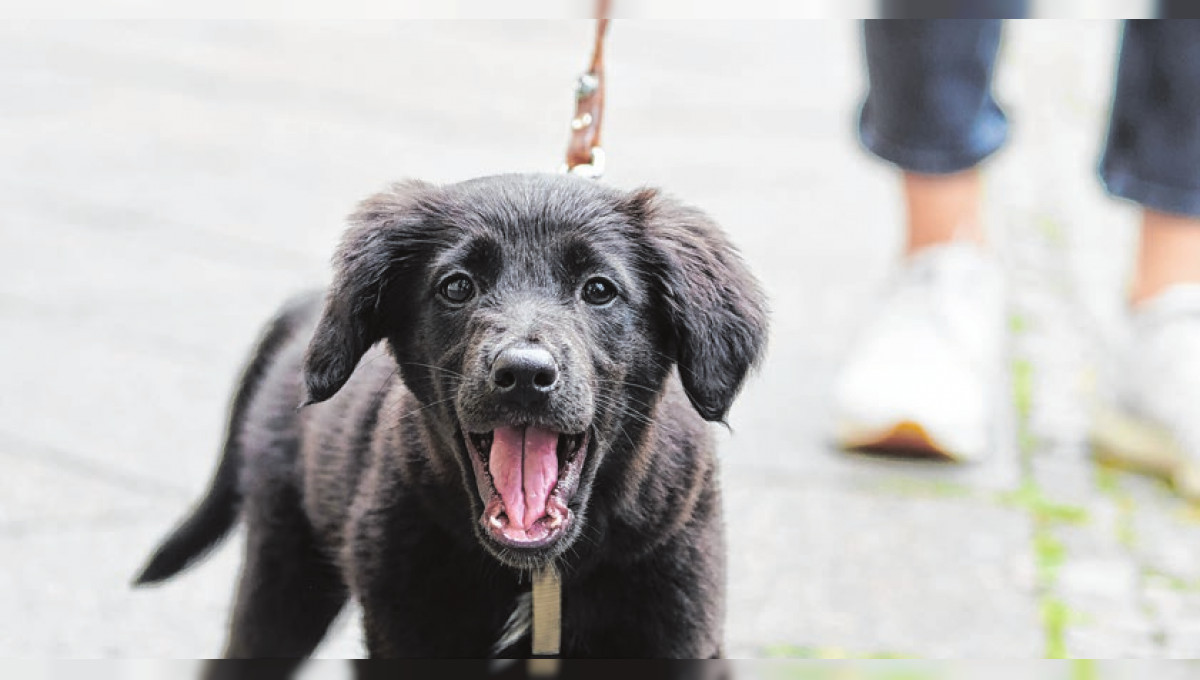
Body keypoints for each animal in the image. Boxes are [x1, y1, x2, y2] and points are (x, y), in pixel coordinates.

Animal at [131, 175, 768, 671]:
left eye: (599, 290)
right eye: (457, 286)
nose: (523, 374)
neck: (539, 576)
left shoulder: (677, 631)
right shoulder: (407, 632)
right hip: (282, 576)